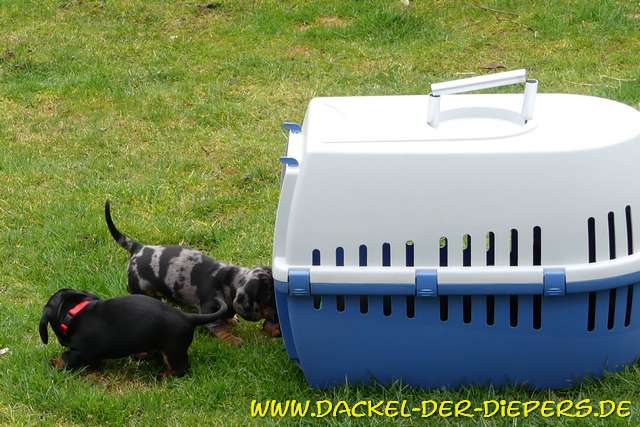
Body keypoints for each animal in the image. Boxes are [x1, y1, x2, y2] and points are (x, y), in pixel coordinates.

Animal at [39, 288, 227, 377]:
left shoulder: (79, 351)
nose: (63, 341)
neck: (75, 312)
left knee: (181, 370)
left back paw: (163, 375)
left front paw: (54, 364)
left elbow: (65, 358)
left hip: (173, 351)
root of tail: (188, 317)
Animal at [104, 200, 280, 345]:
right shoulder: (209, 309)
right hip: (139, 288)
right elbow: (220, 328)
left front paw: (232, 320)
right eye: (270, 300)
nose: (278, 321)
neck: (229, 280)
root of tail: (138, 248)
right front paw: (232, 339)